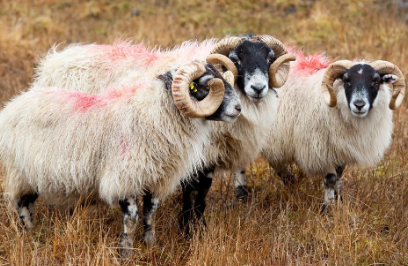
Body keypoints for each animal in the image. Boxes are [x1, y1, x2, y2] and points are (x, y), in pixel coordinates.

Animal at [0, 58, 241, 256]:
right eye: (207, 84)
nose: (238, 108)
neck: (156, 115)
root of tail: (13, 104)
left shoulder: (155, 177)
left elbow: (150, 214)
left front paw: (150, 244)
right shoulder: (125, 178)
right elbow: (131, 218)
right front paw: (126, 252)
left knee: (29, 202)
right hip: (18, 172)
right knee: (21, 204)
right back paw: (28, 233)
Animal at [30, 34, 294, 236]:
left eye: (269, 58)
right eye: (236, 59)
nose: (258, 88)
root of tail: (52, 61)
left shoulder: (206, 157)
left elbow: (203, 192)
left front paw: (198, 227)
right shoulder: (192, 154)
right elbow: (191, 191)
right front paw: (187, 229)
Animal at [233, 48, 404, 212]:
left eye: (376, 81)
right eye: (346, 81)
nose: (359, 104)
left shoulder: (341, 147)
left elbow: (339, 176)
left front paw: (339, 200)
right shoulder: (321, 148)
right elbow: (331, 179)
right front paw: (327, 209)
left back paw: (290, 183)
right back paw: (242, 194)